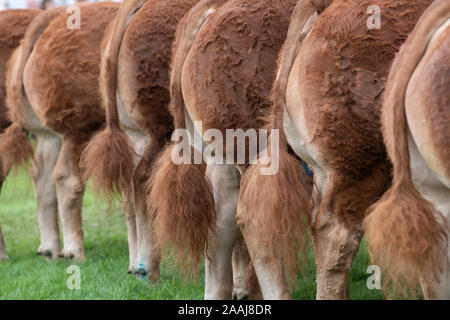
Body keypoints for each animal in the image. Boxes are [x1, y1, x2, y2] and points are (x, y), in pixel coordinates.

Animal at [0, 2, 119, 262]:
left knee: (42, 178)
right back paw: (74, 251)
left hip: (49, 135)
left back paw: (49, 248)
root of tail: (50, 18)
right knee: (67, 179)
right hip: (79, 128)